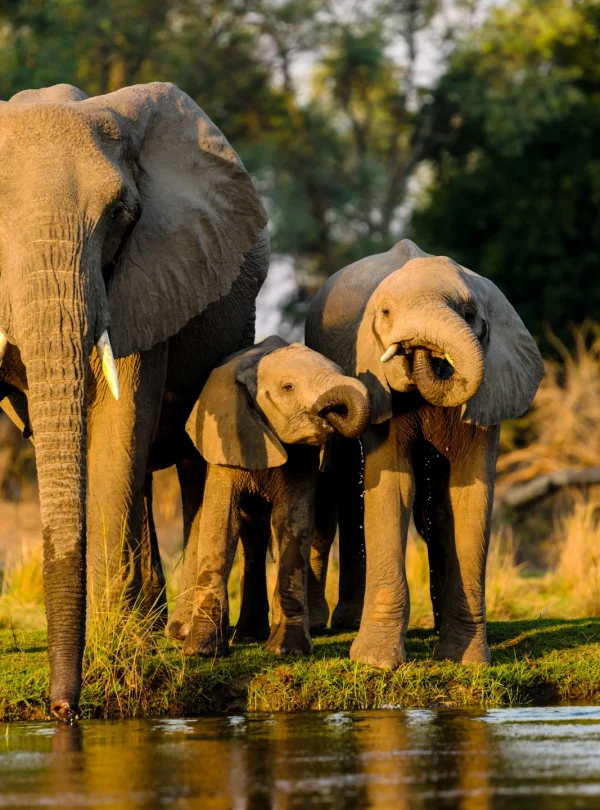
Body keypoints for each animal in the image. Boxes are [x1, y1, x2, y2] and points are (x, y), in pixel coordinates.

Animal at [0, 82, 269, 719]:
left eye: (121, 216)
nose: (62, 710)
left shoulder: (147, 276)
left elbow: (120, 419)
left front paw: (117, 648)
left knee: (192, 462)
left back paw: (182, 636)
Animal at [168, 336, 371, 657]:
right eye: (287, 387)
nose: (332, 414)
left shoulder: (302, 455)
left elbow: (292, 523)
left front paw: (287, 651)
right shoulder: (228, 436)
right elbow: (221, 523)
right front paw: (202, 651)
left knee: (318, 532)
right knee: (252, 538)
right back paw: (249, 636)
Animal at [305, 239, 544, 669]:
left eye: (469, 314)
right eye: (385, 314)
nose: (417, 347)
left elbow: (469, 497)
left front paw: (466, 660)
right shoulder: (376, 383)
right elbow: (393, 487)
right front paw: (376, 663)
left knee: (428, 512)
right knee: (341, 486)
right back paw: (332, 624)